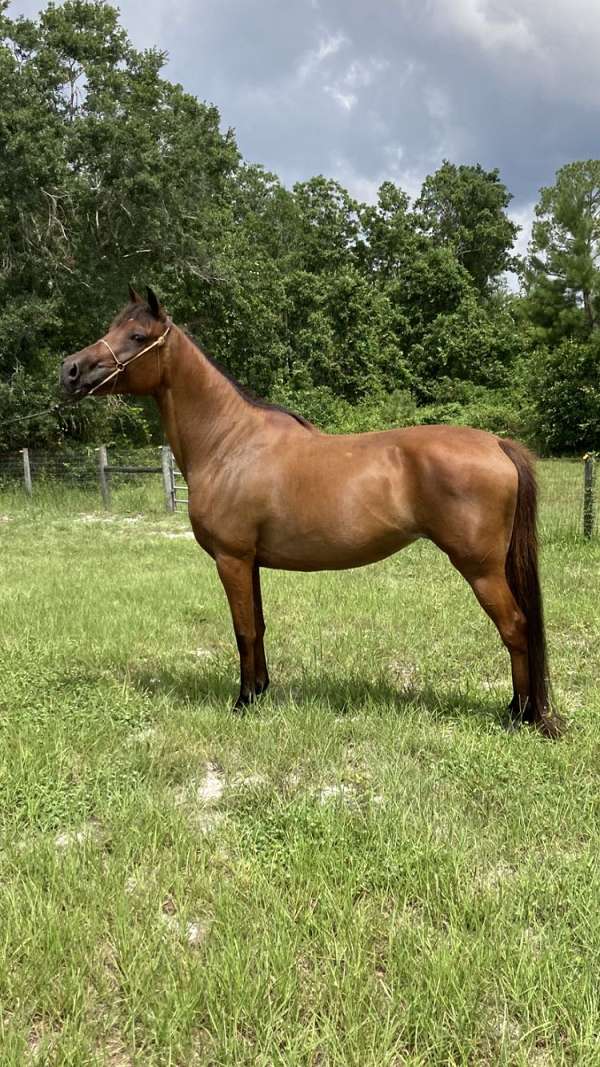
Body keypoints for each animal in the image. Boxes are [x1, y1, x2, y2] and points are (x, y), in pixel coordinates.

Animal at [60, 286, 563, 738]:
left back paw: (521, 716)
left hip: (481, 569)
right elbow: (259, 627)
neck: (229, 443)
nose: (69, 370)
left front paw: (242, 702)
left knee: (515, 628)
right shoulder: (250, 563)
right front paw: (261, 691)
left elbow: (243, 630)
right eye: (112, 326)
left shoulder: (231, 559)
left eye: (138, 335)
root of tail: (497, 442)